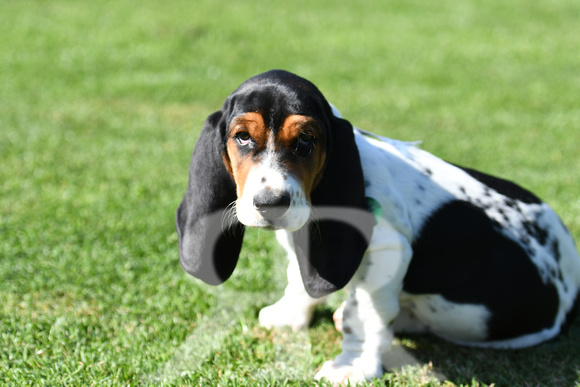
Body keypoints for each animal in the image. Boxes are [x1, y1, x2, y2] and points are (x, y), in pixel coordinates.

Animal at [177, 70, 580, 384]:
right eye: (242, 137)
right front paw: (290, 314)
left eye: (307, 139)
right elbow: (301, 278)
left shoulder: (387, 251)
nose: (270, 203)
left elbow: (362, 313)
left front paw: (351, 365)